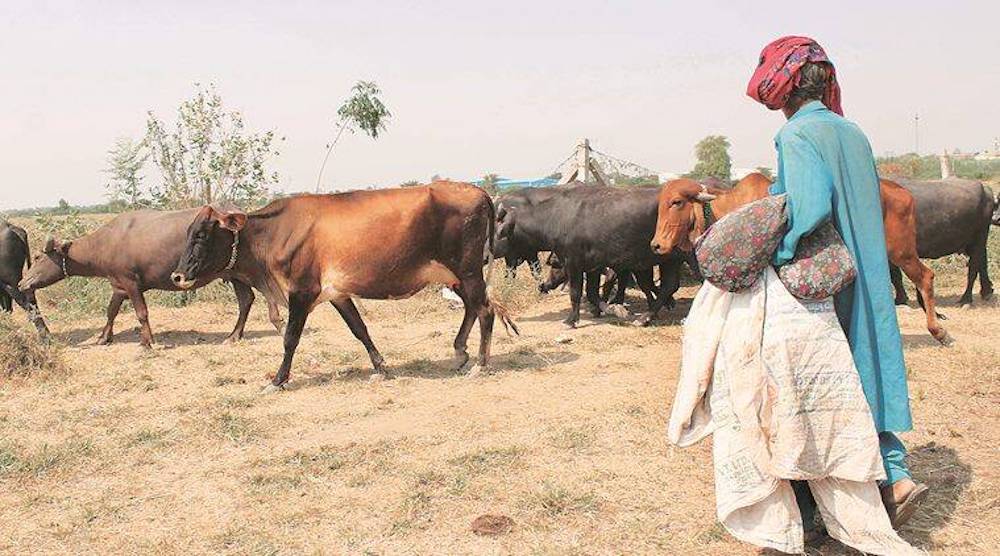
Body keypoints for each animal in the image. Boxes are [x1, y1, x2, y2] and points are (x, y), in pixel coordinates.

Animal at [19, 210, 286, 348]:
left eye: (39, 257)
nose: (22, 283)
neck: (107, 243)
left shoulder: (131, 283)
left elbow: (141, 313)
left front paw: (148, 341)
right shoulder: (119, 286)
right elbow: (111, 311)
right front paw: (104, 336)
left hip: (248, 270)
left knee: (263, 294)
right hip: (234, 274)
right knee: (246, 300)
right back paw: (234, 336)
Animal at [169, 180, 520, 388]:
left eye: (202, 234)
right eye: (188, 232)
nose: (177, 276)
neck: (274, 234)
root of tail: (478, 191)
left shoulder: (302, 291)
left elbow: (290, 338)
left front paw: (278, 379)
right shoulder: (338, 293)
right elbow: (359, 329)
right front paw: (380, 366)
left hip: (468, 271)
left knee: (485, 311)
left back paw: (480, 363)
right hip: (457, 275)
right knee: (474, 308)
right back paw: (460, 353)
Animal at [494, 185, 684, 328]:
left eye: (496, 232)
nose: (544, 286)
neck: (556, 217)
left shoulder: (573, 262)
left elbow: (576, 292)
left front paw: (571, 320)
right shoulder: (593, 266)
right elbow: (592, 292)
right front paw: (609, 309)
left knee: (664, 285)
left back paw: (647, 316)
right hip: (670, 260)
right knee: (669, 285)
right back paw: (649, 315)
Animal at [652, 174, 948, 344]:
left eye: (676, 202)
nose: (656, 245)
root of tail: (902, 192)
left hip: (902, 251)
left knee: (926, 277)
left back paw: (937, 330)